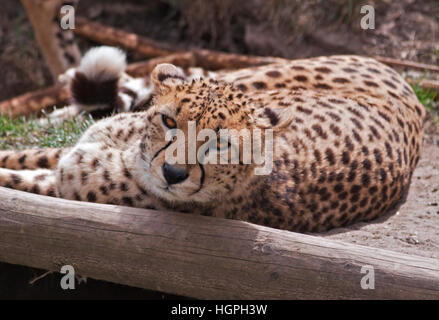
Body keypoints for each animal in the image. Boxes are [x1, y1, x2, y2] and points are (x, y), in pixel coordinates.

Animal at [0, 55, 426, 231]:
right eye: (169, 121)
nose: (172, 173)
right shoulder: (68, 154)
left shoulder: (63, 182)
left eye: (221, 146)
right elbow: (23, 154)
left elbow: (19, 179)